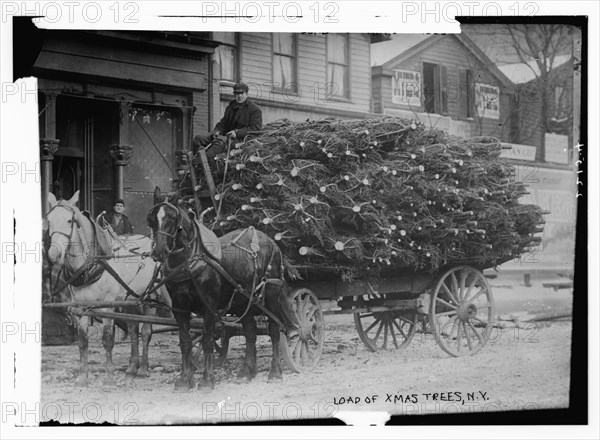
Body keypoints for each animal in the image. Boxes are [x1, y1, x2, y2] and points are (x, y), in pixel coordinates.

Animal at [44, 191, 171, 386]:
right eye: (49, 220)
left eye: (69, 221)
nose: (53, 254)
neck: (92, 264)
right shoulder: (81, 307)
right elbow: (83, 341)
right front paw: (82, 376)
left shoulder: (107, 306)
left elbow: (108, 340)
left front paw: (109, 375)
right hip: (130, 299)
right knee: (133, 330)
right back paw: (131, 368)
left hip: (150, 299)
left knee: (145, 332)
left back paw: (143, 368)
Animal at [148, 187, 298, 390]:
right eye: (152, 218)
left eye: (173, 218)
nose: (158, 252)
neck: (190, 261)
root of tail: (272, 242)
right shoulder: (179, 308)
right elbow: (185, 342)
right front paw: (184, 380)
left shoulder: (209, 306)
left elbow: (207, 340)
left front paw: (206, 380)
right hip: (243, 300)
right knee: (250, 331)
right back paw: (246, 372)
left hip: (271, 295)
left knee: (274, 329)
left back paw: (275, 372)